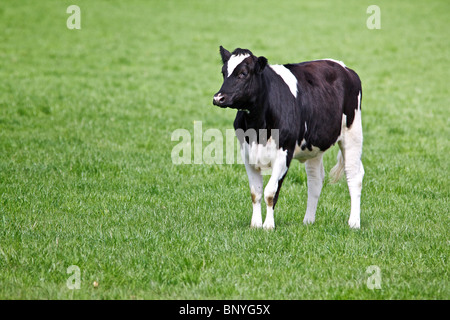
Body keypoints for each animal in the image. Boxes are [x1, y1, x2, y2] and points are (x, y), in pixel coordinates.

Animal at [213, 46, 364, 229]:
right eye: (223, 72)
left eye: (243, 73)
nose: (218, 97)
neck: (258, 127)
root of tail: (345, 68)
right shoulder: (246, 153)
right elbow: (255, 192)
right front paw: (255, 225)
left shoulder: (284, 153)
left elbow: (270, 192)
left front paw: (268, 226)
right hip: (314, 146)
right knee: (315, 180)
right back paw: (308, 221)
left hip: (353, 133)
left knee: (354, 176)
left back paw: (354, 222)